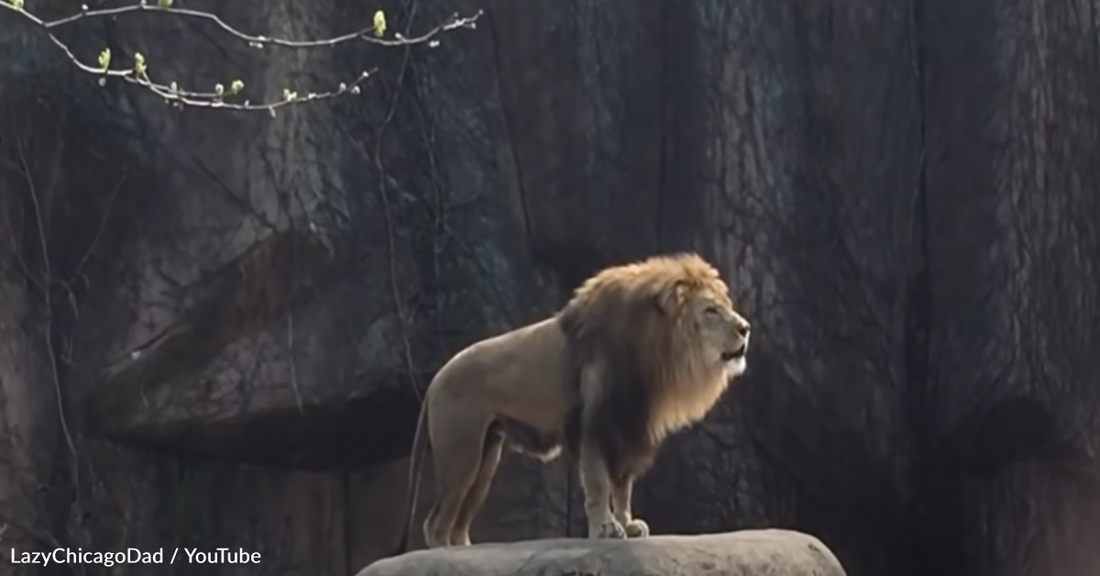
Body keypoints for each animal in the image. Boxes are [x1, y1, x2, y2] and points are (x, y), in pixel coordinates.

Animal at [398, 250, 756, 549]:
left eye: (725, 306)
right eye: (710, 311)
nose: (746, 328)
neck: (655, 354)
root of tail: (435, 380)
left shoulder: (626, 426)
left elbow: (622, 487)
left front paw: (628, 524)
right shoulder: (594, 424)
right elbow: (598, 484)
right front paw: (606, 529)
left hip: (486, 456)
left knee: (457, 523)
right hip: (462, 455)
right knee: (436, 524)